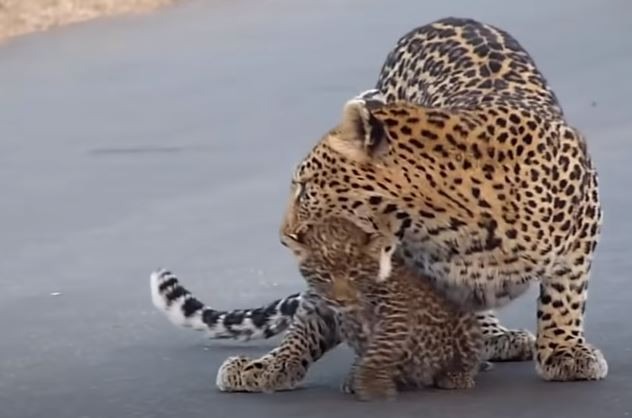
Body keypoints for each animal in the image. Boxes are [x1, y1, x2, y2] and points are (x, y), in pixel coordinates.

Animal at [151, 16, 604, 388]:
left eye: (305, 188)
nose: (284, 236)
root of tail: (447, 18)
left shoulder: (584, 220)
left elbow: (565, 295)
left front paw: (563, 352)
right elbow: (313, 317)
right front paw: (268, 368)